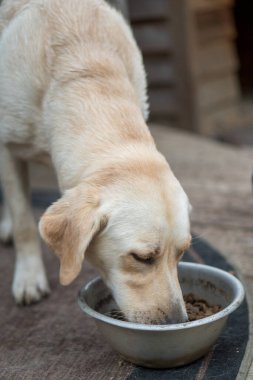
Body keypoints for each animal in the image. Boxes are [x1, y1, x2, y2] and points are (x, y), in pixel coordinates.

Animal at [0, 0, 191, 324]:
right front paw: (28, 277)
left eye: (181, 253)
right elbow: (24, 221)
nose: (177, 323)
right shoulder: (6, 146)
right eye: (142, 258)